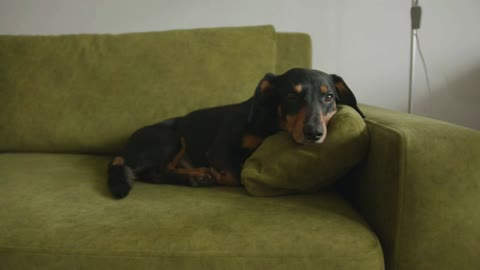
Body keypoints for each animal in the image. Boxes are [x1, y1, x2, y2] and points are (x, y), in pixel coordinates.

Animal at [108, 67, 364, 198]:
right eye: (291, 96)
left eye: (328, 97)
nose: (314, 133)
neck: (269, 121)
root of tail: (125, 149)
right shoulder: (218, 150)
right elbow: (236, 174)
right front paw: (217, 173)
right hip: (169, 139)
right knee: (157, 171)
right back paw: (199, 175)